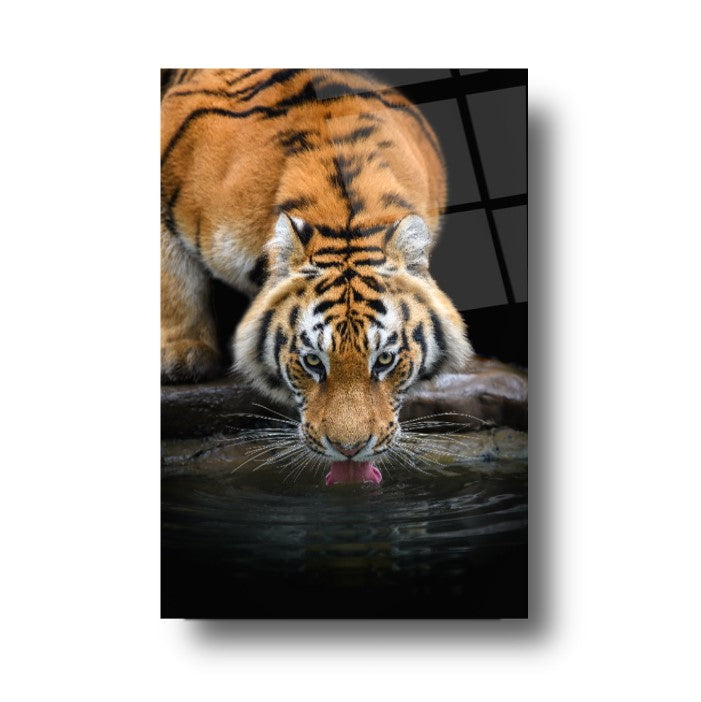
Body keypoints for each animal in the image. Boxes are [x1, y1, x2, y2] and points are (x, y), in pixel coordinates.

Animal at [161, 68, 473, 484]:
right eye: (312, 361)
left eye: (385, 360)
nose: (350, 449)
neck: (342, 218)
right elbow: (172, 278)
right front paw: (182, 357)